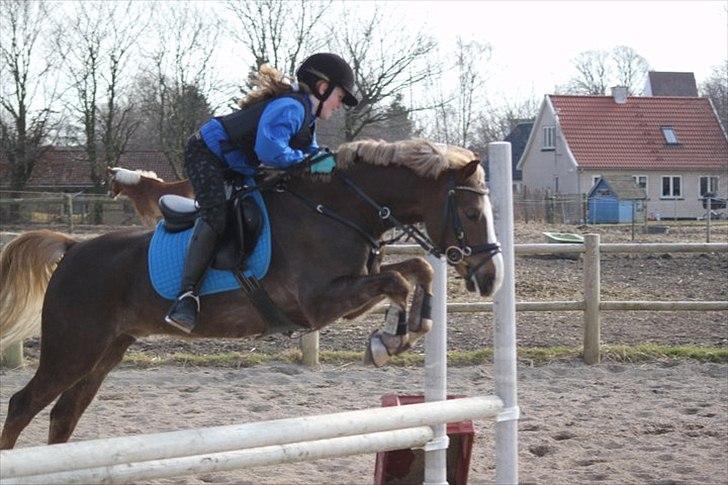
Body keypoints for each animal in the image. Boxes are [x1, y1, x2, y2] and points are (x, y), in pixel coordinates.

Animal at [0, 138, 504, 448]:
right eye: (472, 212)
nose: (491, 278)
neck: (334, 209)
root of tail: (73, 248)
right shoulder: (318, 304)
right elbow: (400, 280)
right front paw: (390, 339)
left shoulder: (348, 296)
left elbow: (416, 269)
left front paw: (408, 328)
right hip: (73, 349)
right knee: (23, 404)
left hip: (106, 352)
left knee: (64, 414)